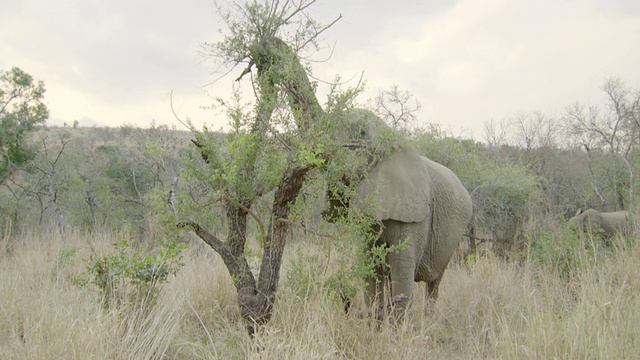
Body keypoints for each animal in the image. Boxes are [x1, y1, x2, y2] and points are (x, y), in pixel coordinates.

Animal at [324, 108, 470, 320]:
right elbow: (371, 268)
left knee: (434, 283)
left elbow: (402, 268)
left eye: (362, 134)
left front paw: (397, 328)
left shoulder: (413, 212)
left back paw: (428, 321)